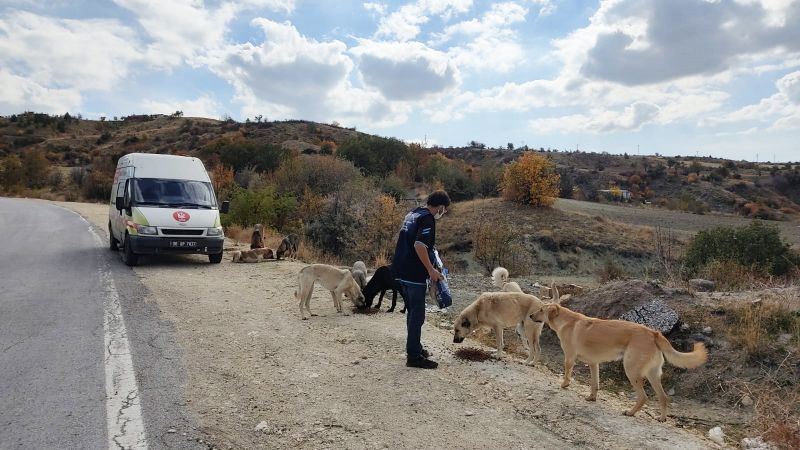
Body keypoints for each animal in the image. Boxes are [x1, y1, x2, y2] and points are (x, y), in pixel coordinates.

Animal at [532, 302, 708, 422]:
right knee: (663, 397)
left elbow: (567, 373)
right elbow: (595, 384)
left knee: (643, 397)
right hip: (653, 375)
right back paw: (662, 418)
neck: (567, 320)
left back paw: (630, 412)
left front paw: (564, 384)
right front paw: (592, 398)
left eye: (541, 310)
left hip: (631, 371)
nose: (530, 316)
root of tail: (653, 333)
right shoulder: (593, 364)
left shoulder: (569, 357)